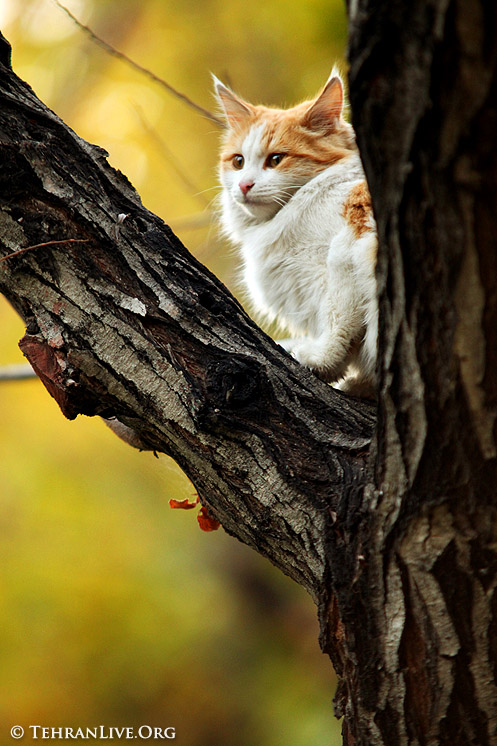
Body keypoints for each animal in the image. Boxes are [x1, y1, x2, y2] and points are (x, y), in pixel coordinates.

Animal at [212, 71, 376, 396]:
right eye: (238, 161)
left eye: (276, 160)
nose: (245, 185)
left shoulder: (345, 249)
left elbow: (340, 324)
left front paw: (321, 361)